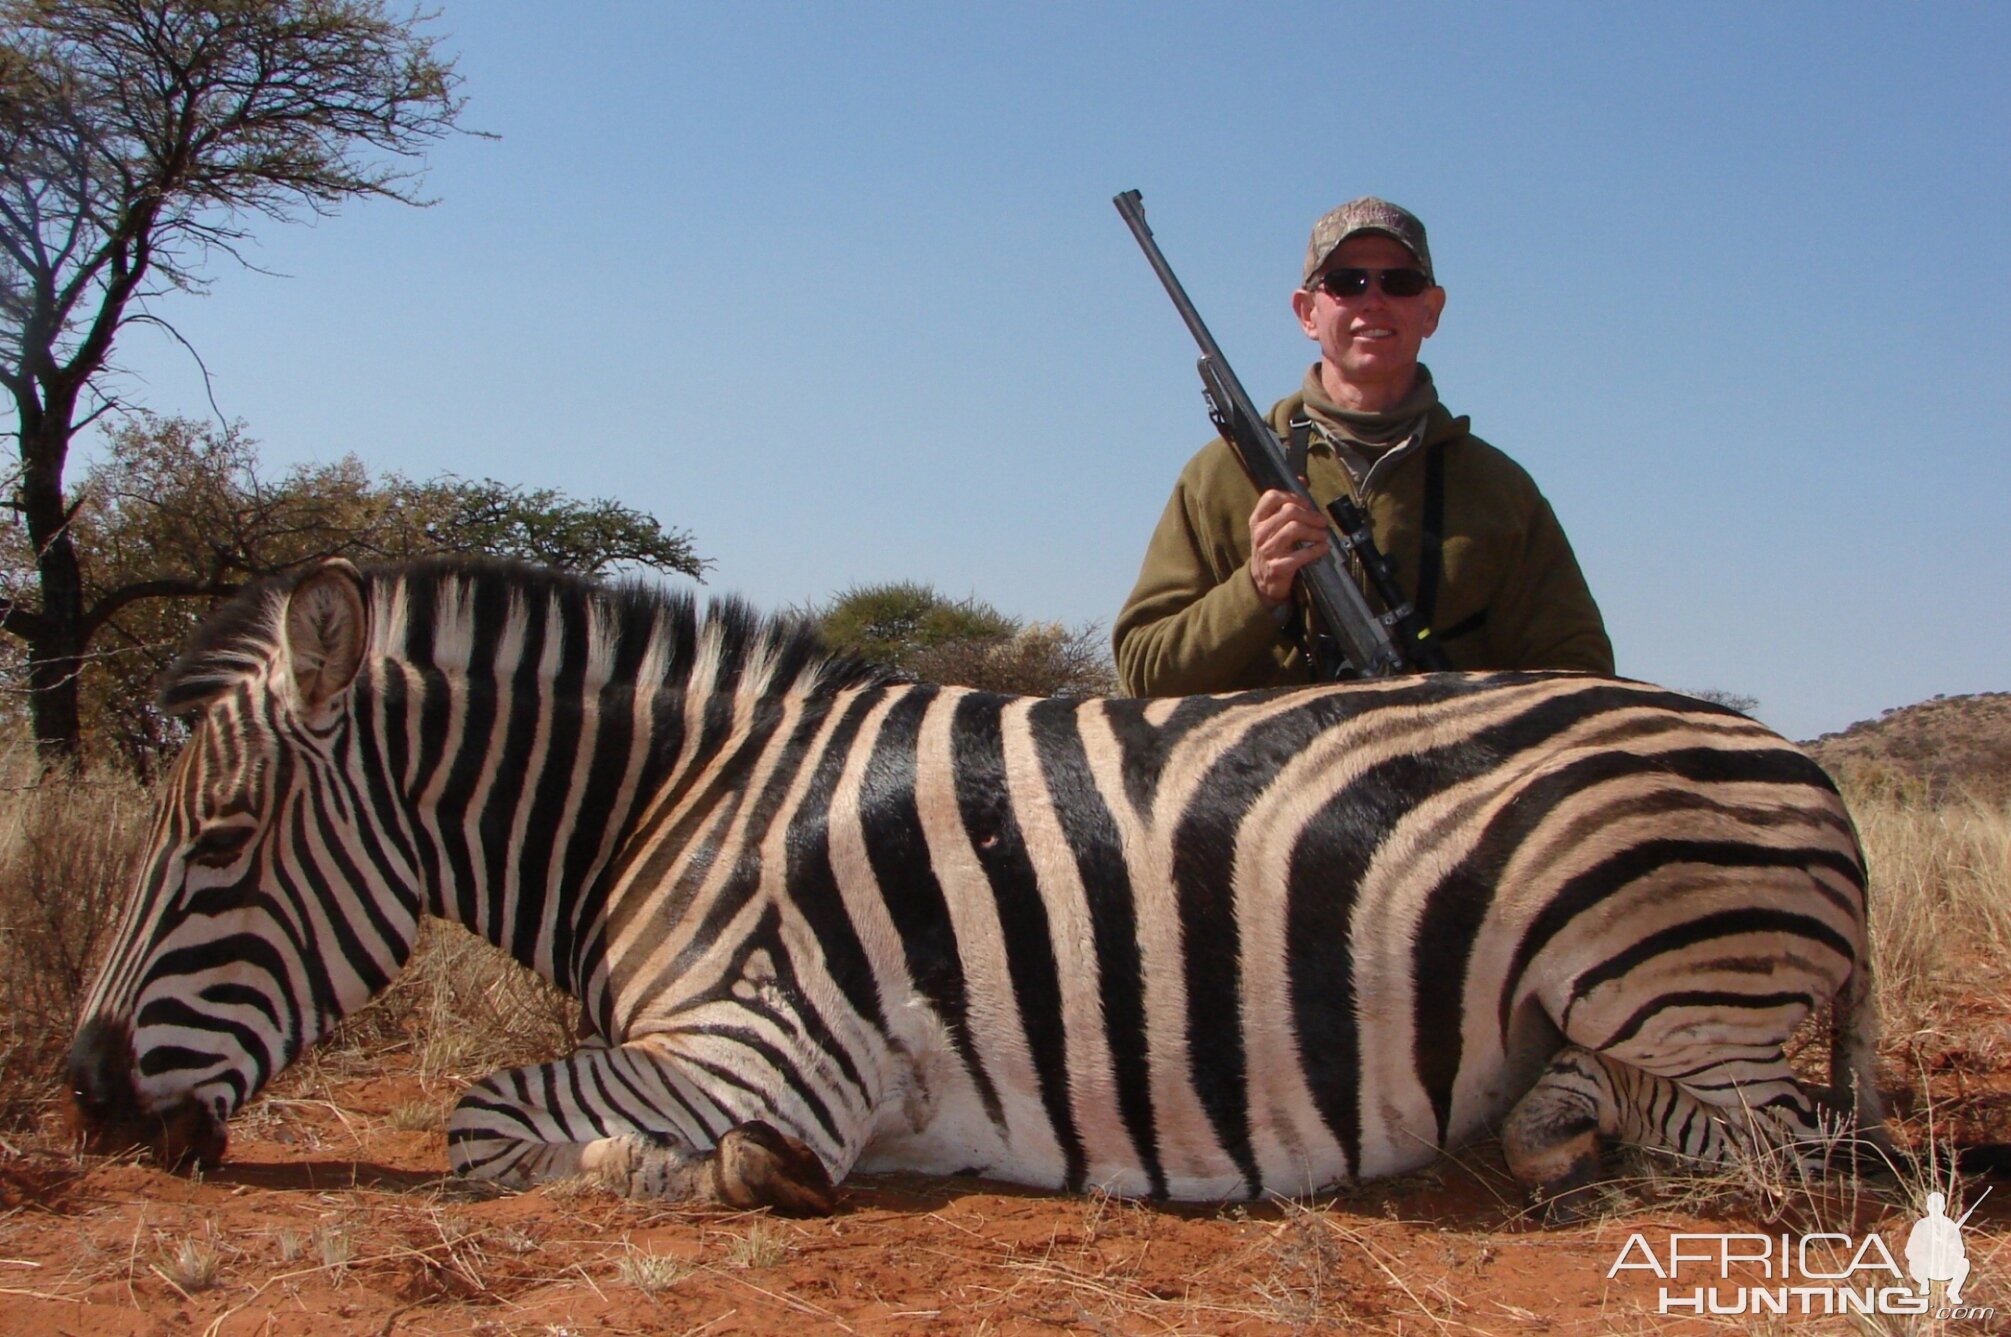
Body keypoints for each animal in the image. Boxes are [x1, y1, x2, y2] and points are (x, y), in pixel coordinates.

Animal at [68, 556, 1889, 1214]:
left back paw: (1581, 1157)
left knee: (1779, 1153)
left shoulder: (769, 1043)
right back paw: (1551, 1125)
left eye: (215, 846)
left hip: (1659, 972)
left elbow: (484, 1121)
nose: (81, 1096)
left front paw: (707, 1175)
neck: (684, 810)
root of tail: (1800, 760)